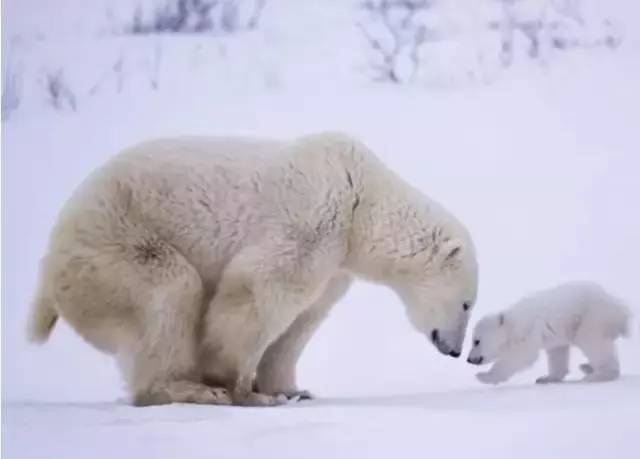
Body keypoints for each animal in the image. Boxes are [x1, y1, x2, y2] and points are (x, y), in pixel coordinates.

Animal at [27, 132, 478, 406]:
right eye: (467, 304)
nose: (455, 350)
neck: (362, 201)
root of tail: (48, 265)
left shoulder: (336, 263)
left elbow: (302, 320)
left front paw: (293, 390)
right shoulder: (313, 220)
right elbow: (260, 289)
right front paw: (245, 389)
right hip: (115, 245)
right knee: (170, 290)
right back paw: (188, 388)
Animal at [468, 282, 632, 386]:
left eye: (476, 341)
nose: (469, 359)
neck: (511, 324)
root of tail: (620, 309)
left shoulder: (529, 330)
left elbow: (521, 356)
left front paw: (484, 376)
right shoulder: (555, 335)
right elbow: (557, 354)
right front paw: (546, 378)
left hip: (592, 317)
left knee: (593, 342)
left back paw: (595, 376)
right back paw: (586, 367)